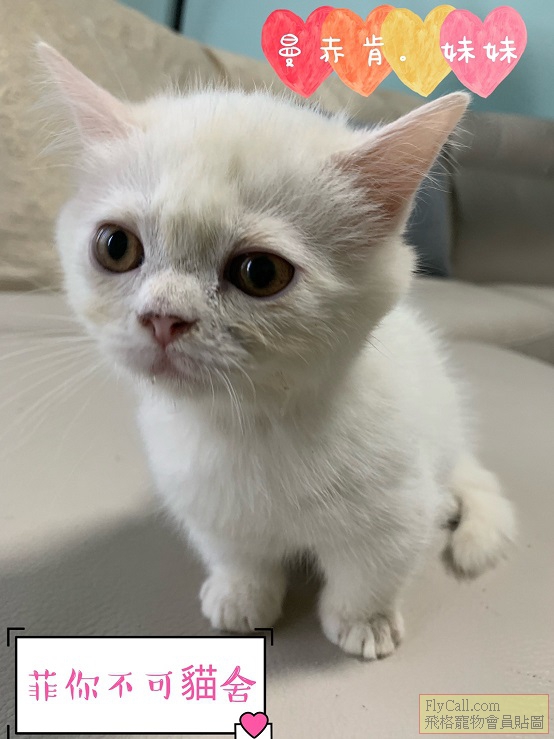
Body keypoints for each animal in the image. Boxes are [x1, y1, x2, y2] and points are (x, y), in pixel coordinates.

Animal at [37, 42, 516, 660]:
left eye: (260, 273)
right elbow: (239, 555)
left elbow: (372, 569)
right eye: (116, 246)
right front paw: (240, 596)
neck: (253, 428)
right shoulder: (207, 503)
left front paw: (364, 622)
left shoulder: (396, 508)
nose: (163, 316)